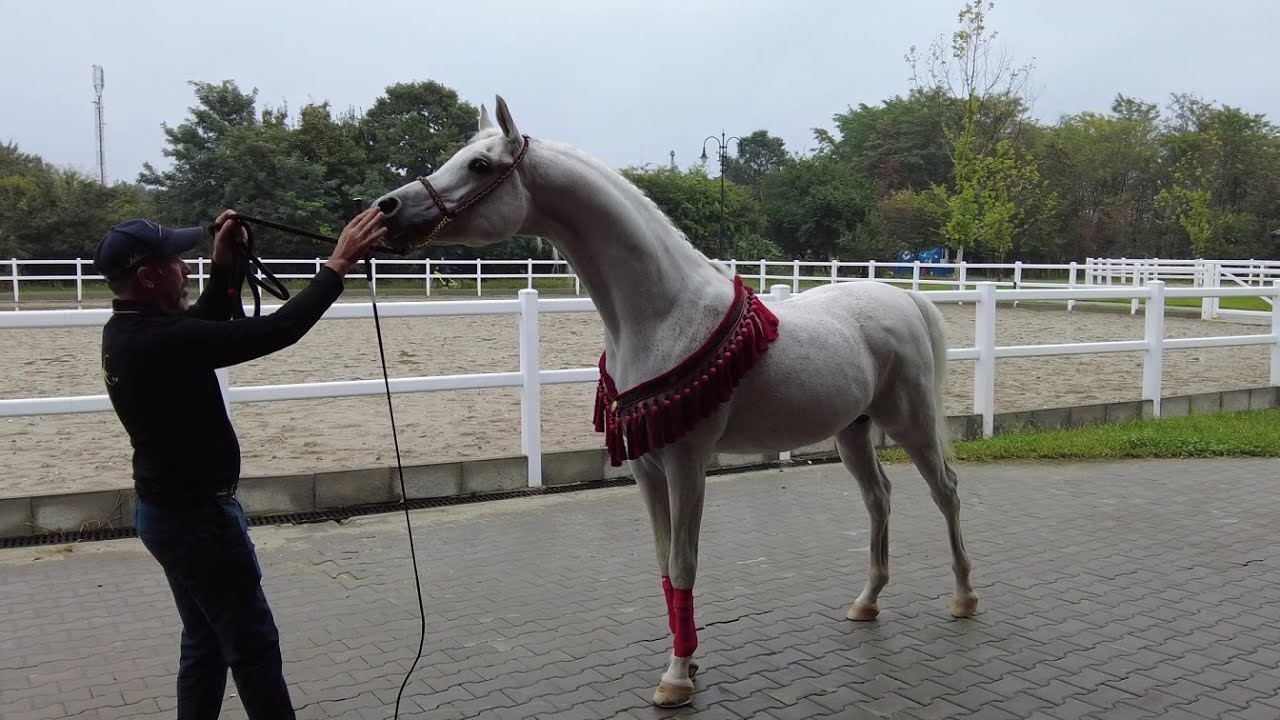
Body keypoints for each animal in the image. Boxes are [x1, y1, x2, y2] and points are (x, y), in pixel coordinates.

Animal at [370, 95, 978, 708]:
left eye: (479, 165)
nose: (387, 208)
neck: (662, 313)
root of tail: (904, 298)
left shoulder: (687, 464)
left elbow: (684, 564)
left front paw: (677, 678)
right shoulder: (646, 466)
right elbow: (663, 565)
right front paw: (687, 659)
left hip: (912, 423)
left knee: (946, 491)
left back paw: (963, 596)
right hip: (852, 431)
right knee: (879, 499)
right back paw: (867, 601)